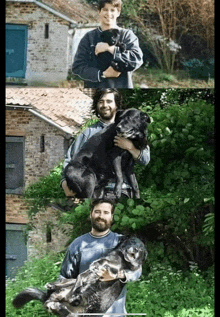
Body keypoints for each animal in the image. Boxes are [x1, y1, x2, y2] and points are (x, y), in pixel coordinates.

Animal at [12, 237, 147, 316]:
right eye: (130, 242)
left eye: (140, 247)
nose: (134, 250)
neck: (122, 259)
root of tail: (48, 297)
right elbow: (83, 275)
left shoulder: (122, 268)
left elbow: (116, 267)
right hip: (65, 286)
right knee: (66, 283)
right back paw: (56, 288)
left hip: (75, 312)